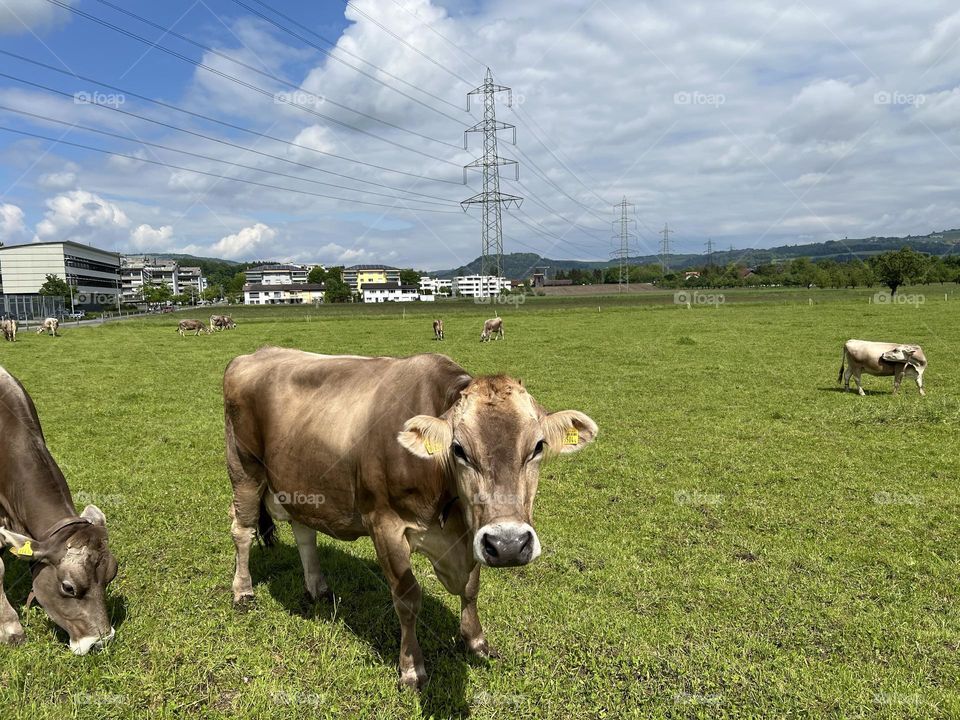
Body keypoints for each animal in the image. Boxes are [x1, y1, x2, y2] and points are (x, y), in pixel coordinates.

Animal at [223, 348, 598, 689]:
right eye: (459, 449)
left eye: (538, 446)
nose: (508, 544)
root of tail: (251, 355)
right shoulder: (384, 524)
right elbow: (407, 599)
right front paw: (411, 668)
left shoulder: (472, 534)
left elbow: (471, 588)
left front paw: (476, 642)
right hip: (244, 470)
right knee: (241, 530)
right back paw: (243, 591)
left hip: (299, 482)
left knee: (304, 532)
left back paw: (318, 588)